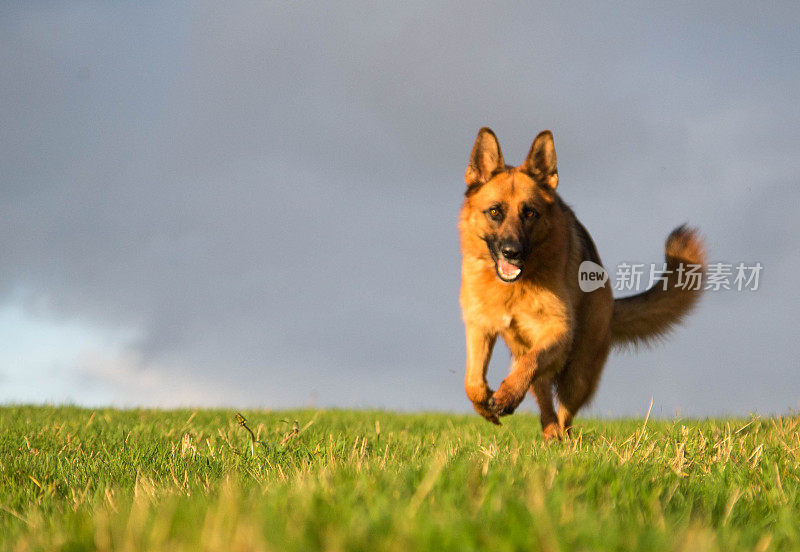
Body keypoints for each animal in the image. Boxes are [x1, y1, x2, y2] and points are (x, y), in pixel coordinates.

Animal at [460, 128, 704, 440]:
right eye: (494, 212)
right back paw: (548, 431)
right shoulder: (479, 328)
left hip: (578, 372)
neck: (513, 288)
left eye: (530, 213)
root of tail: (611, 305)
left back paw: (561, 438)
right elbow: (472, 382)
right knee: (543, 396)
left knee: (564, 411)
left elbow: (530, 363)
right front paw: (490, 404)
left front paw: (506, 396)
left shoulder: (559, 331)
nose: (512, 252)